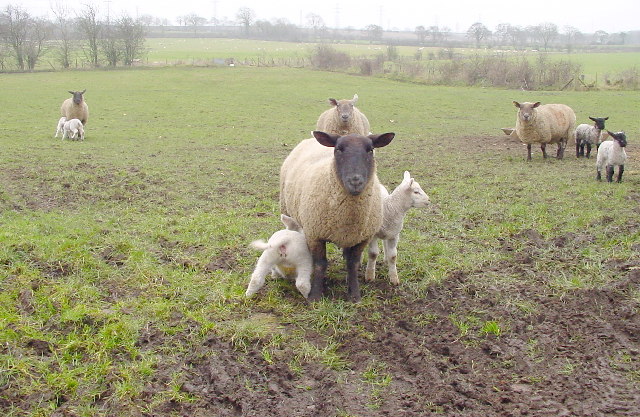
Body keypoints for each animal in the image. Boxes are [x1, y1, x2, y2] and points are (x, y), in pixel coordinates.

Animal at [280, 129, 396, 300]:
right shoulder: (315, 234)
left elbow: (352, 264)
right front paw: (315, 296)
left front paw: (354, 295)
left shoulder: (362, 238)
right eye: (338, 149)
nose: (355, 181)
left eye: (370, 150)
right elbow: (320, 264)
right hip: (287, 210)